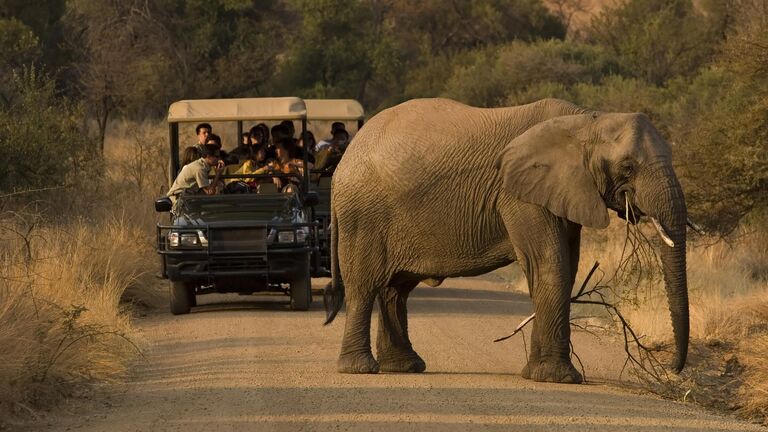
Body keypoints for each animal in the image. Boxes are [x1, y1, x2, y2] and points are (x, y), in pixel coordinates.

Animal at [324, 96, 688, 384]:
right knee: (364, 285)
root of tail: (345, 159)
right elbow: (549, 264)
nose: (672, 368)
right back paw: (360, 369)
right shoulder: (518, 195)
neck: (586, 119)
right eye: (628, 168)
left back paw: (404, 367)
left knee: (395, 290)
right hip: (363, 215)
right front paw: (558, 379)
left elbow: (566, 268)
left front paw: (538, 374)